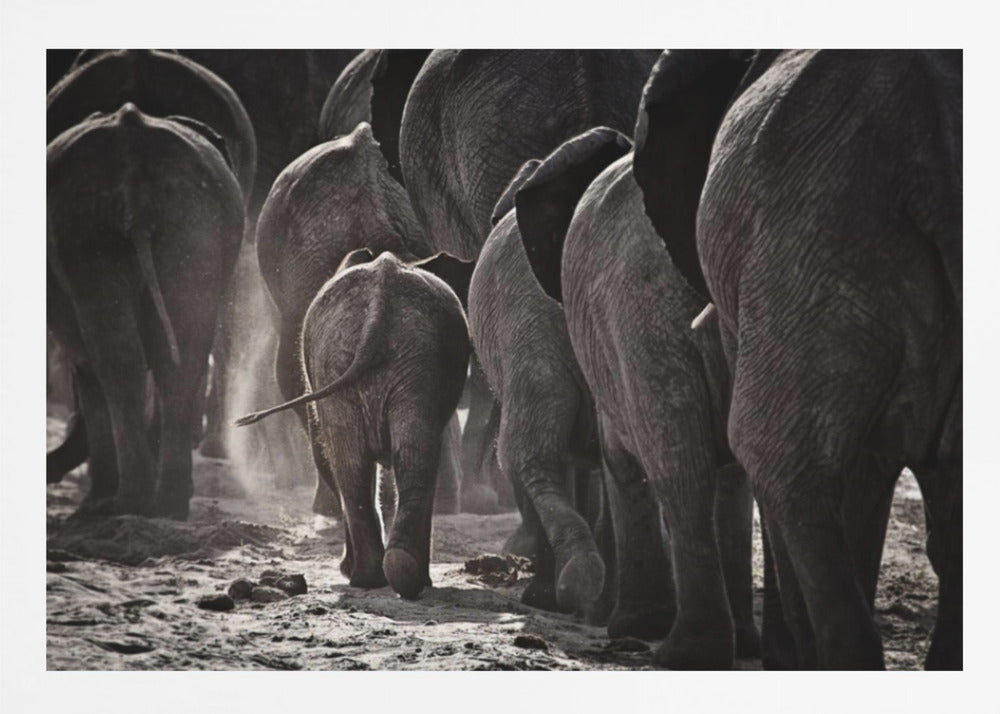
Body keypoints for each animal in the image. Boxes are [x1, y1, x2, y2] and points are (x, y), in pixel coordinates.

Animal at [47, 103, 244, 519]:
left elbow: (86, 366)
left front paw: (95, 501)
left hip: (83, 229)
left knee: (115, 361)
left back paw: (120, 503)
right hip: (194, 224)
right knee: (182, 356)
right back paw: (167, 505)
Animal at [236, 250, 471, 599]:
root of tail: (380, 300)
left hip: (384, 357)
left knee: (360, 463)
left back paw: (377, 576)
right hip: (383, 357)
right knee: (387, 459)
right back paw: (388, 576)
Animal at [517, 127, 760, 669]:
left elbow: (620, 460)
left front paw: (627, 625)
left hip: (640, 318)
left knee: (679, 466)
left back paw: (682, 650)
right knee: (725, 469)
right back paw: (730, 644)